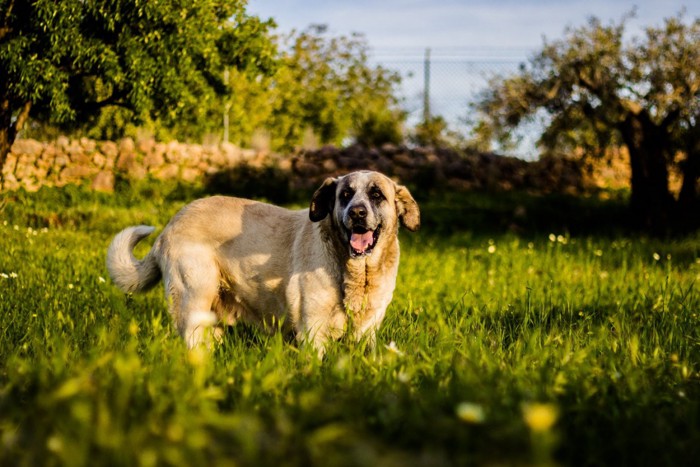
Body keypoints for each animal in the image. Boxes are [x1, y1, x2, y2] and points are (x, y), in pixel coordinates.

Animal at [106, 170, 418, 356]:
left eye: (376, 195)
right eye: (345, 195)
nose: (356, 213)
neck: (355, 272)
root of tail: (169, 227)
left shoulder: (368, 329)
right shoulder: (313, 328)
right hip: (193, 296)